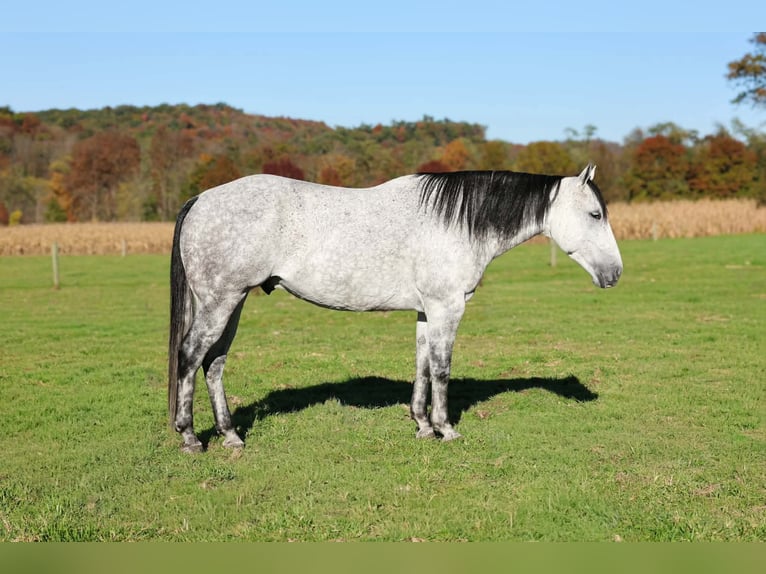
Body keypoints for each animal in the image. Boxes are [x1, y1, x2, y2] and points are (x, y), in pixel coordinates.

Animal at [168, 164, 622, 452]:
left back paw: (231, 436)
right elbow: (441, 368)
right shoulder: (446, 308)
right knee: (190, 356)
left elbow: (421, 365)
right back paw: (190, 438)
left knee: (214, 363)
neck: (454, 222)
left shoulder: (426, 311)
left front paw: (421, 426)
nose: (615, 273)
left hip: (233, 302)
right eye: (594, 214)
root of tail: (201, 199)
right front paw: (445, 429)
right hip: (220, 301)